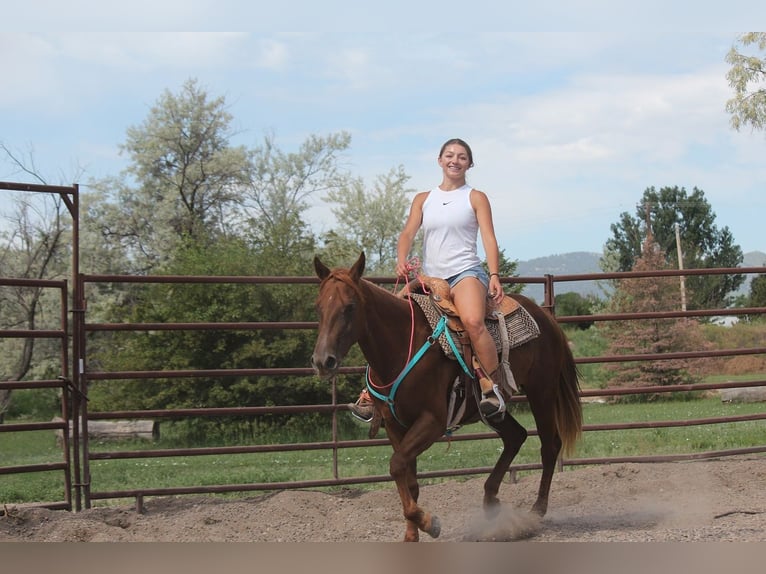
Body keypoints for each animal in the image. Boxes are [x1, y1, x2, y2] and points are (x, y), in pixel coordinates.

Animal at [311, 252, 582, 542]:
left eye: (350, 307)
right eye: (318, 307)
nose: (322, 361)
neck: (401, 346)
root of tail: (545, 315)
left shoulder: (433, 422)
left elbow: (396, 465)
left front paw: (429, 522)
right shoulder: (394, 425)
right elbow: (408, 478)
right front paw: (412, 535)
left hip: (542, 392)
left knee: (549, 446)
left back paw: (536, 511)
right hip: (489, 410)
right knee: (515, 436)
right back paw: (491, 501)